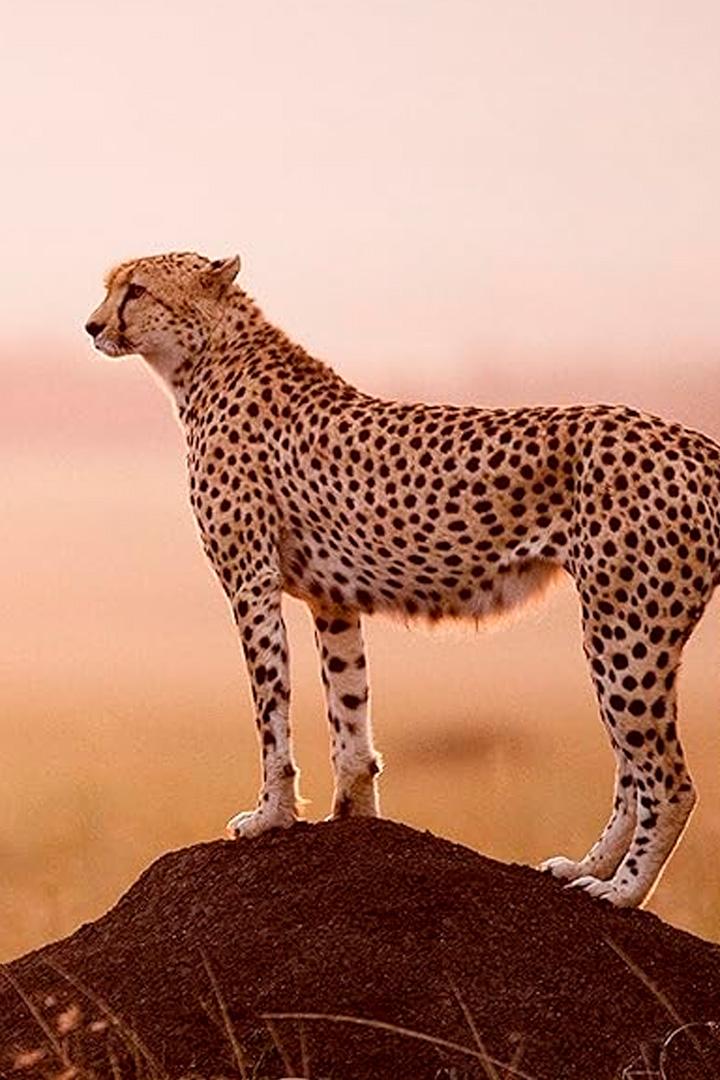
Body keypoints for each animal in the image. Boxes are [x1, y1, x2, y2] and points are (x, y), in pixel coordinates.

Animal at [86, 251, 720, 908]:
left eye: (136, 290)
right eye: (112, 287)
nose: (92, 326)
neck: (207, 360)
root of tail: (693, 442)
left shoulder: (249, 581)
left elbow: (271, 711)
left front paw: (270, 816)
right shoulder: (330, 599)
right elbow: (349, 713)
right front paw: (354, 819)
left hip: (626, 629)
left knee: (667, 781)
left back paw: (621, 891)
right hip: (622, 629)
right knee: (631, 772)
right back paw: (584, 867)